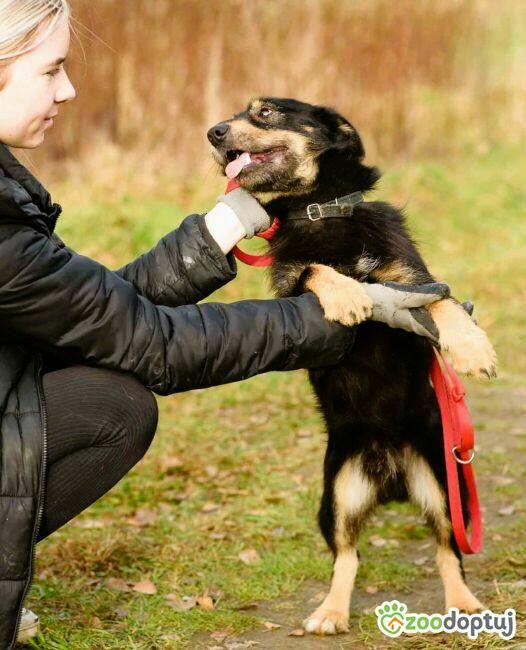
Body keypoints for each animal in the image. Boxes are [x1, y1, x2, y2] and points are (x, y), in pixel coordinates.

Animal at [207, 97, 500, 632]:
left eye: (264, 112)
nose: (213, 133)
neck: (321, 210)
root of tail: (391, 479)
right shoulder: (291, 286)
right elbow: (316, 269)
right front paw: (347, 295)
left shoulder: (412, 279)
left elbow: (442, 301)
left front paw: (472, 349)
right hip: (337, 493)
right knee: (347, 555)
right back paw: (330, 611)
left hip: (444, 487)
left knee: (447, 549)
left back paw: (463, 603)